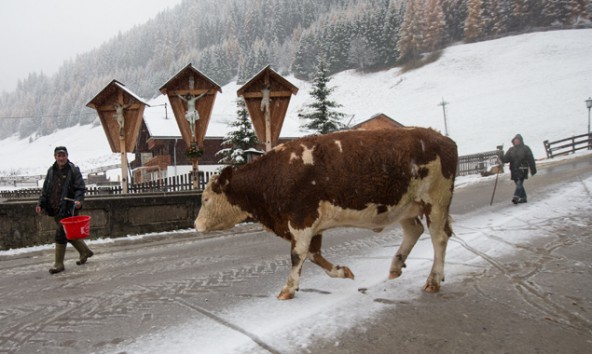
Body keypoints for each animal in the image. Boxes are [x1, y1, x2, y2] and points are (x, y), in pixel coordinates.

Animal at [194, 127, 458, 298]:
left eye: (205, 199)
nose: (196, 225)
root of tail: (443, 138)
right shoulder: (312, 224)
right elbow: (313, 255)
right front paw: (342, 272)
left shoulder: (301, 219)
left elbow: (297, 255)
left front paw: (288, 289)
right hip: (406, 207)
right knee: (414, 230)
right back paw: (396, 266)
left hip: (436, 202)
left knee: (439, 238)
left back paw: (433, 280)